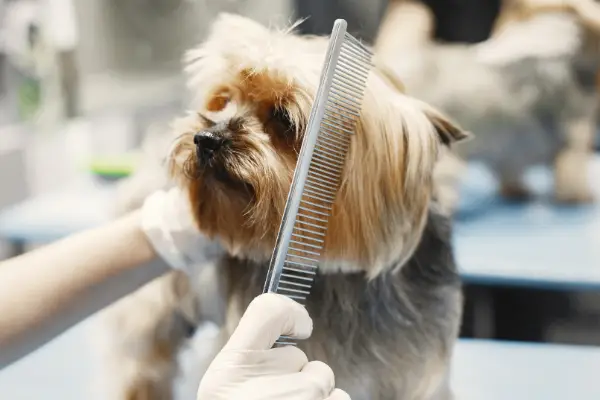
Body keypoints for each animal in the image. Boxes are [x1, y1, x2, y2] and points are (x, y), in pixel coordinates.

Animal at [99, 14, 468, 398]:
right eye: (223, 101)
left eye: (283, 118)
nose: (205, 138)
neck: (339, 281)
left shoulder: (417, 372)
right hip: (148, 310)